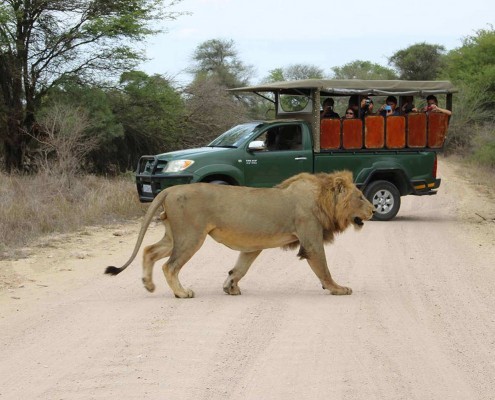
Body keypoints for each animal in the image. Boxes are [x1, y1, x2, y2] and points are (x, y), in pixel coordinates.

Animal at [106, 170, 374, 298]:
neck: (321, 198)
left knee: (149, 251)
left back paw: (148, 285)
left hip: (175, 236)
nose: (373, 209)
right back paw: (182, 293)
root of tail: (171, 189)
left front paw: (230, 287)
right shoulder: (311, 239)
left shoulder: (254, 246)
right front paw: (338, 289)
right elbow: (324, 269)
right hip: (191, 236)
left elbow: (240, 268)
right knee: (169, 266)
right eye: (360, 197)